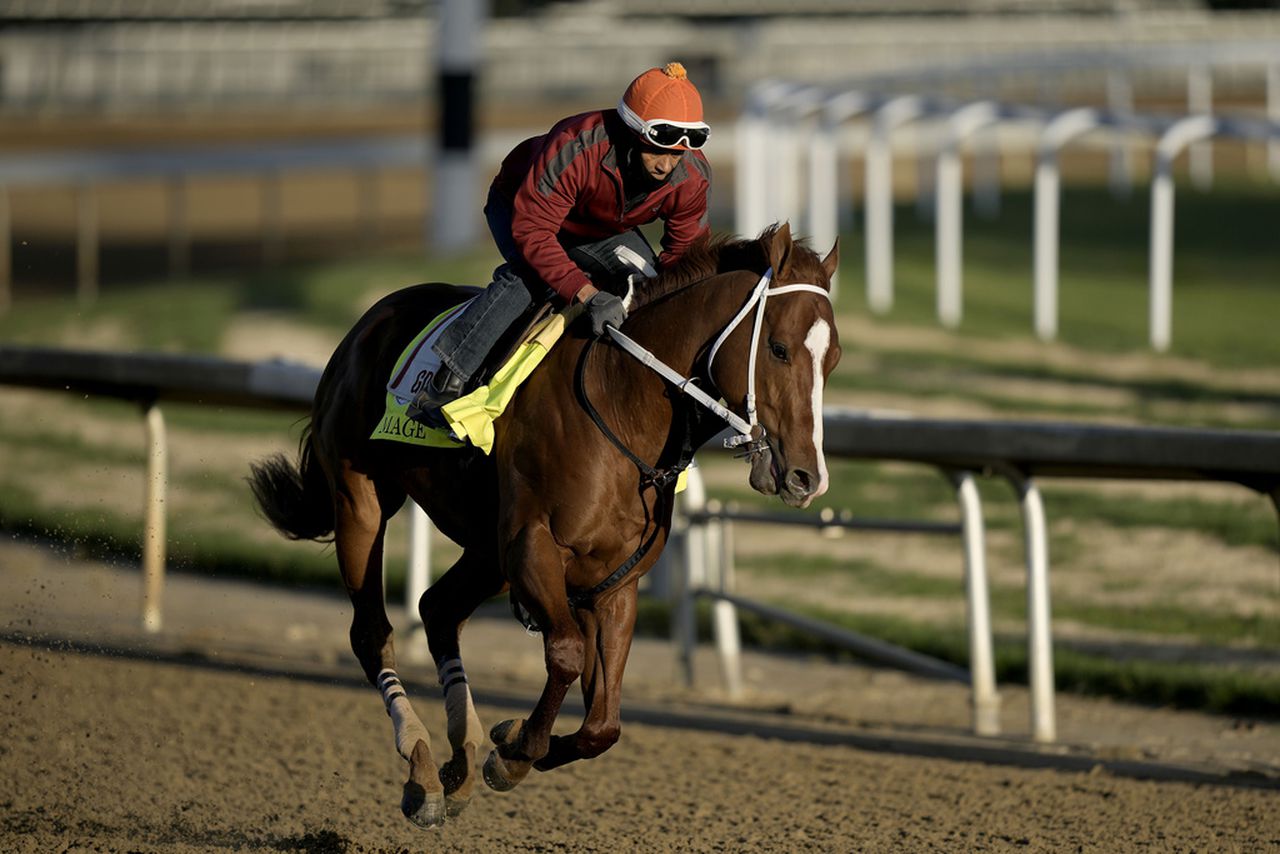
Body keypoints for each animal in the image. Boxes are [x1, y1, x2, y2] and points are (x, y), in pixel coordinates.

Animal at [247, 222, 839, 829]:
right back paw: (422, 771)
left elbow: (604, 723)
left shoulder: (614, 581)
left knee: (438, 609)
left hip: (486, 551)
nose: (806, 477)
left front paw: (509, 741)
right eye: (779, 348)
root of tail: (367, 323)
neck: (621, 401)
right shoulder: (531, 547)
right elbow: (568, 654)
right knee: (372, 633)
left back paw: (460, 761)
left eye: (834, 357)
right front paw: (515, 751)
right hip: (361, 500)